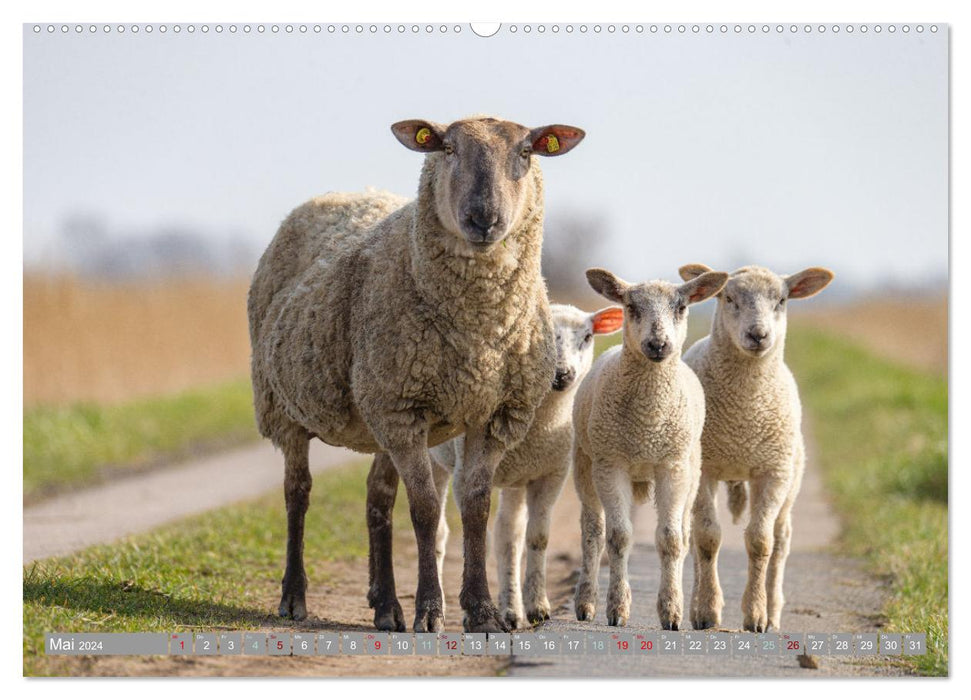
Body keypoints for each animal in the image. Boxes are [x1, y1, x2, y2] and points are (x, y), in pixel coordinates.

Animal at [249, 116, 584, 636]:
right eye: (446, 148)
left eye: (527, 151)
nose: (483, 219)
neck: (478, 335)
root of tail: (338, 193)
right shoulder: (403, 409)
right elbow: (425, 509)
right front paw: (431, 610)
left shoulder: (492, 415)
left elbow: (475, 507)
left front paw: (481, 611)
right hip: (287, 408)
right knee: (297, 492)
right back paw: (294, 596)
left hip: (377, 418)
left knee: (378, 498)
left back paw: (386, 604)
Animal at [432, 304, 624, 628]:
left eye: (587, 337)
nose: (562, 374)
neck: (539, 424)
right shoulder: (468, 471)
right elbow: (483, 536)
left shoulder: (550, 473)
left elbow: (534, 537)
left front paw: (536, 607)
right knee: (436, 529)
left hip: (515, 479)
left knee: (509, 532)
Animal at [568, 266, 728, 628]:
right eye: (631, 307)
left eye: (681, 307)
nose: (658, 344)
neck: (648, 420)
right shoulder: (610, 462)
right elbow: (618, 537)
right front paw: (617, 609)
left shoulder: (673, 465)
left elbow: (670, 539)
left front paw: (671, 612)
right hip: (586, 462)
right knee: (592, 532)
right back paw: (586, 603)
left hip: (692, 471)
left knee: (684, 532)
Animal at [680, 264, 840, 636]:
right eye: (728, 297)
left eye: (782, 300)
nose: (758, 335)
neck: (744, 414)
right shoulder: (705, 468)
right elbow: (707, 539)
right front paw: (708, 611)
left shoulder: (773, 472)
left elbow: (760, 542)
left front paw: (755, 615)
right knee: (695, 537)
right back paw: (695, 605)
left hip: (789, 480)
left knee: (780, 542)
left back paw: (773, 612)